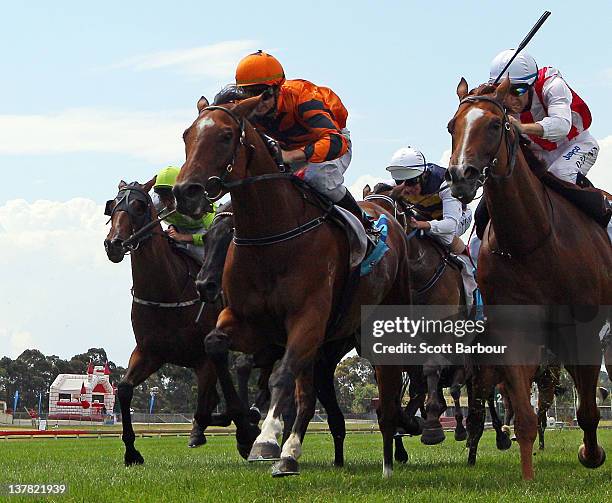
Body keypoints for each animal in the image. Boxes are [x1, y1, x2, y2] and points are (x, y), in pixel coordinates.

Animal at [172, 96, 412, 478]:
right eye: (187, 135)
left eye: (225, 136)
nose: (185, 192)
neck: (271, 237)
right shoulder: (250, 322)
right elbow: (216, 346)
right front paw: (245, 430)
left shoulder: (307, 318)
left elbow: (280, 377)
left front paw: (266, 439)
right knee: (310, 394)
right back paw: (293, 452)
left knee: (386, 389)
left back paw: (388, 459)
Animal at [444, 79, 612, 480]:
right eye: (452, 126)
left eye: (494, 124)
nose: (461, 175)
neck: (531, 240)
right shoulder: (514, 330)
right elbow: (522, 414)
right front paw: (527, 477)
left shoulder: (583, 327)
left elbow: (587, 410)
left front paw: (591, 453)